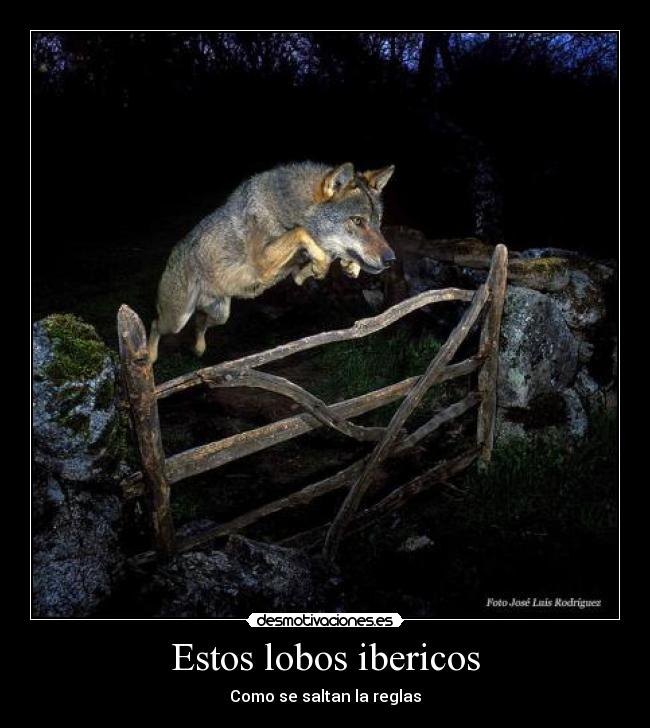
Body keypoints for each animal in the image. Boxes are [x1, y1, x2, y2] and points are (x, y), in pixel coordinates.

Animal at [148, 161, 396, 362]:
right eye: (357, 221)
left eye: (377, 223)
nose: (391, 259)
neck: (290, 209)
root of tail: (172, 255)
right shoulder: (263, 263)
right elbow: (302, 232)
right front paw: (323, 263)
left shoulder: (293, 270)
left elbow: (313, 263)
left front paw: (346, 266)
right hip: (177, 320)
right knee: (155, 324)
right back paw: (148, 357)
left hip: (220, 314)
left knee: (199, 323)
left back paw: (198, 349)